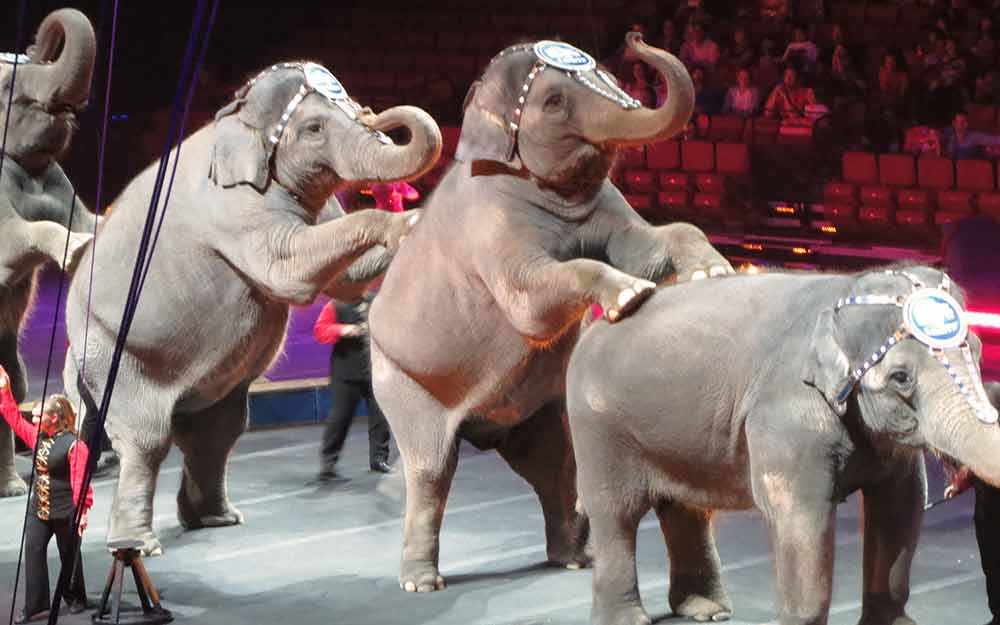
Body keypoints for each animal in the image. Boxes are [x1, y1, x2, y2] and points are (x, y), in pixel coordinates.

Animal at [61, 60, 441, 555]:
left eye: (353, 107)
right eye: (314, 128)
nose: (375, 113)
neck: (235, 117)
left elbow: (347, 279)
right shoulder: (232, 207)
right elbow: (290, 268)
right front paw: (405, 225)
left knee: (216, 433)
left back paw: (215, 519)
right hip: (113, 352)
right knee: (146, 438)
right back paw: (137, 545)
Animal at [368, 33, 732, 593]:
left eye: (609, 76)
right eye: (555, 101)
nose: (636, 38)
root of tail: (479, 428)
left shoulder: (607, 205)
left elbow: (654, 240)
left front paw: (713, 272)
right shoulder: (488, 225)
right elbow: (530, 303)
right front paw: (631, 295)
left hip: (531, 412)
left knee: (550, 466)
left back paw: (572, 558)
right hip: (400, 379)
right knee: (430, 470)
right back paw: (421, 582)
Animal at [565, 264, 1000, 625]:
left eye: (978, 354)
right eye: (900, 377)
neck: (843, 290)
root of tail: (596, 322)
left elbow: (901, 505)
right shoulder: (788, 415)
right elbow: (800, 513)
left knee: (685, 508)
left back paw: (706, 611)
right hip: (597, 427)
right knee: (616, 512)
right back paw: (625, 620)